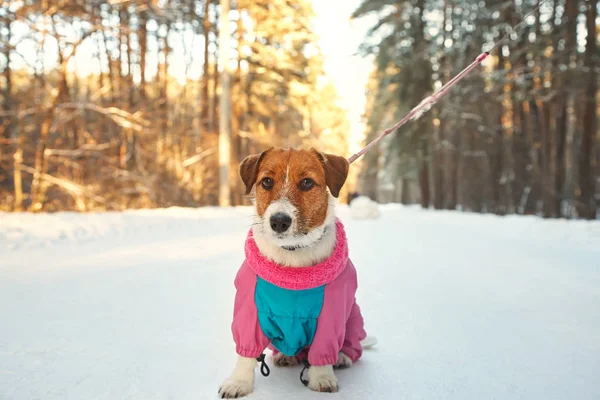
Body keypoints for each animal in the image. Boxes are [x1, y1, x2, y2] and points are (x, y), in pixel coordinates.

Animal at [218, 148, 372, 398]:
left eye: (307, 182)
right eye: (266, 181)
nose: (279, 221)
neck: (293, 256)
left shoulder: (331, 315)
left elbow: (323, 351)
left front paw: (322, 378)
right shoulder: (249, 310)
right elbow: (246, 353)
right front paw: (238, 382)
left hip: (353, 319)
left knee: (350, 347)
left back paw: (342, 357)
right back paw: (286, 356)